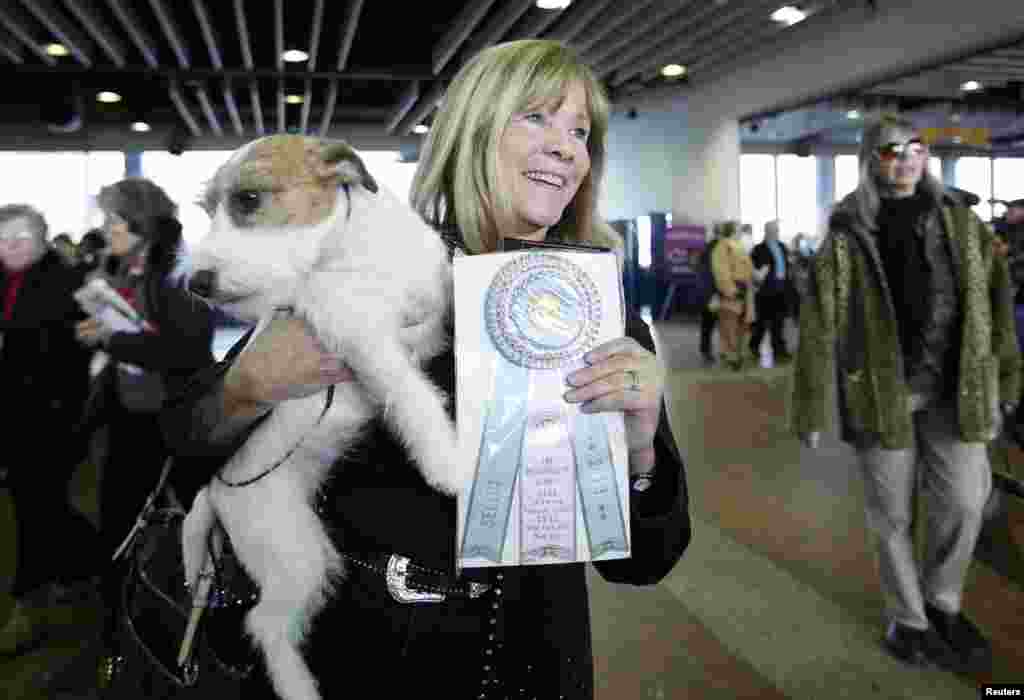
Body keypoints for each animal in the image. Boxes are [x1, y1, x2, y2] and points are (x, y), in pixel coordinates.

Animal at [184, 135, 464, 700]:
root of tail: (213, 491)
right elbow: (413, 398)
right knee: (264, 625)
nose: (196, 283)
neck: (349, 252)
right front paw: (446, 465)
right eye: (207, 210)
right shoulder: (363, 340)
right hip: (296, 554)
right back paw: (298, 687)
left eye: (248, 199)